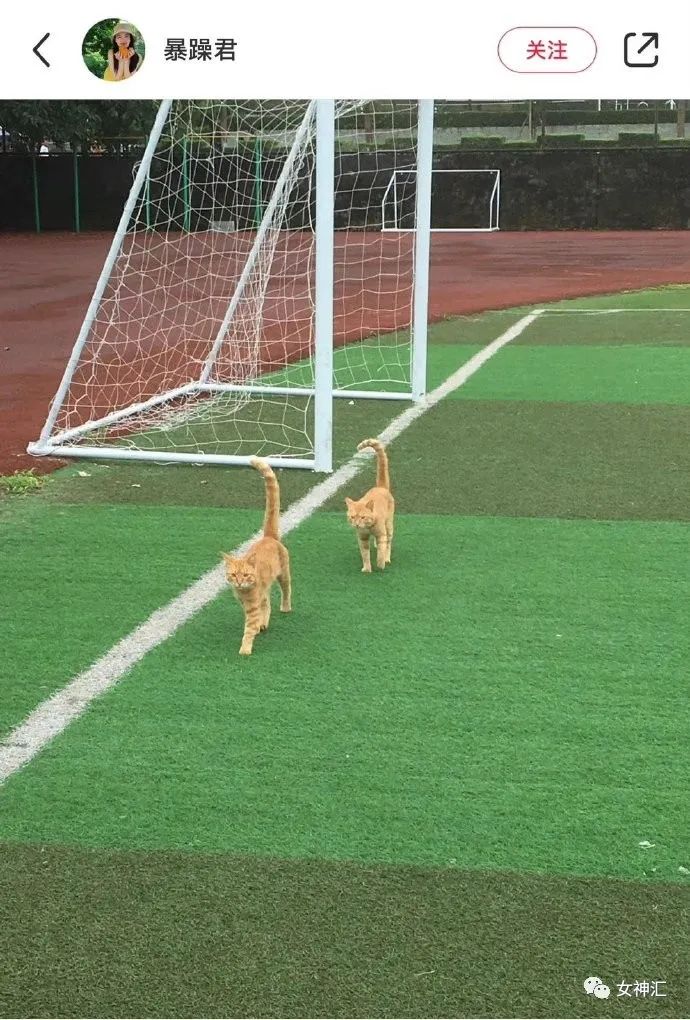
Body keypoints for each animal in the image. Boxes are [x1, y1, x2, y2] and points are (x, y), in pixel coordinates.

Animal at [222, 458, 292, 655]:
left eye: (245, 575)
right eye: (233, 575)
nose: (239, 582)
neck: (244, 593)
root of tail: (268, 537)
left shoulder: (252, 608)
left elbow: (249, 628)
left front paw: (245, 648)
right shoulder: (246, 605)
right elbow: (260, 612)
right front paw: (260, 626)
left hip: (284, 573)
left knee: (286, 590)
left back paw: (285, 607)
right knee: (267, 602)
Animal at [345, 438, 395, 573]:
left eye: (362, 517)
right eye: (352, 517)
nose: (357, 524)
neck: (368, 527)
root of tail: (380, 487)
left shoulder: (381, 534)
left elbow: (381, 552)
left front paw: (381, 563)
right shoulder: (362, 539)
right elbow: (365, 555)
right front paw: (367, 568)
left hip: (389, 525)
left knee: (389, 542)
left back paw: (387, 558)